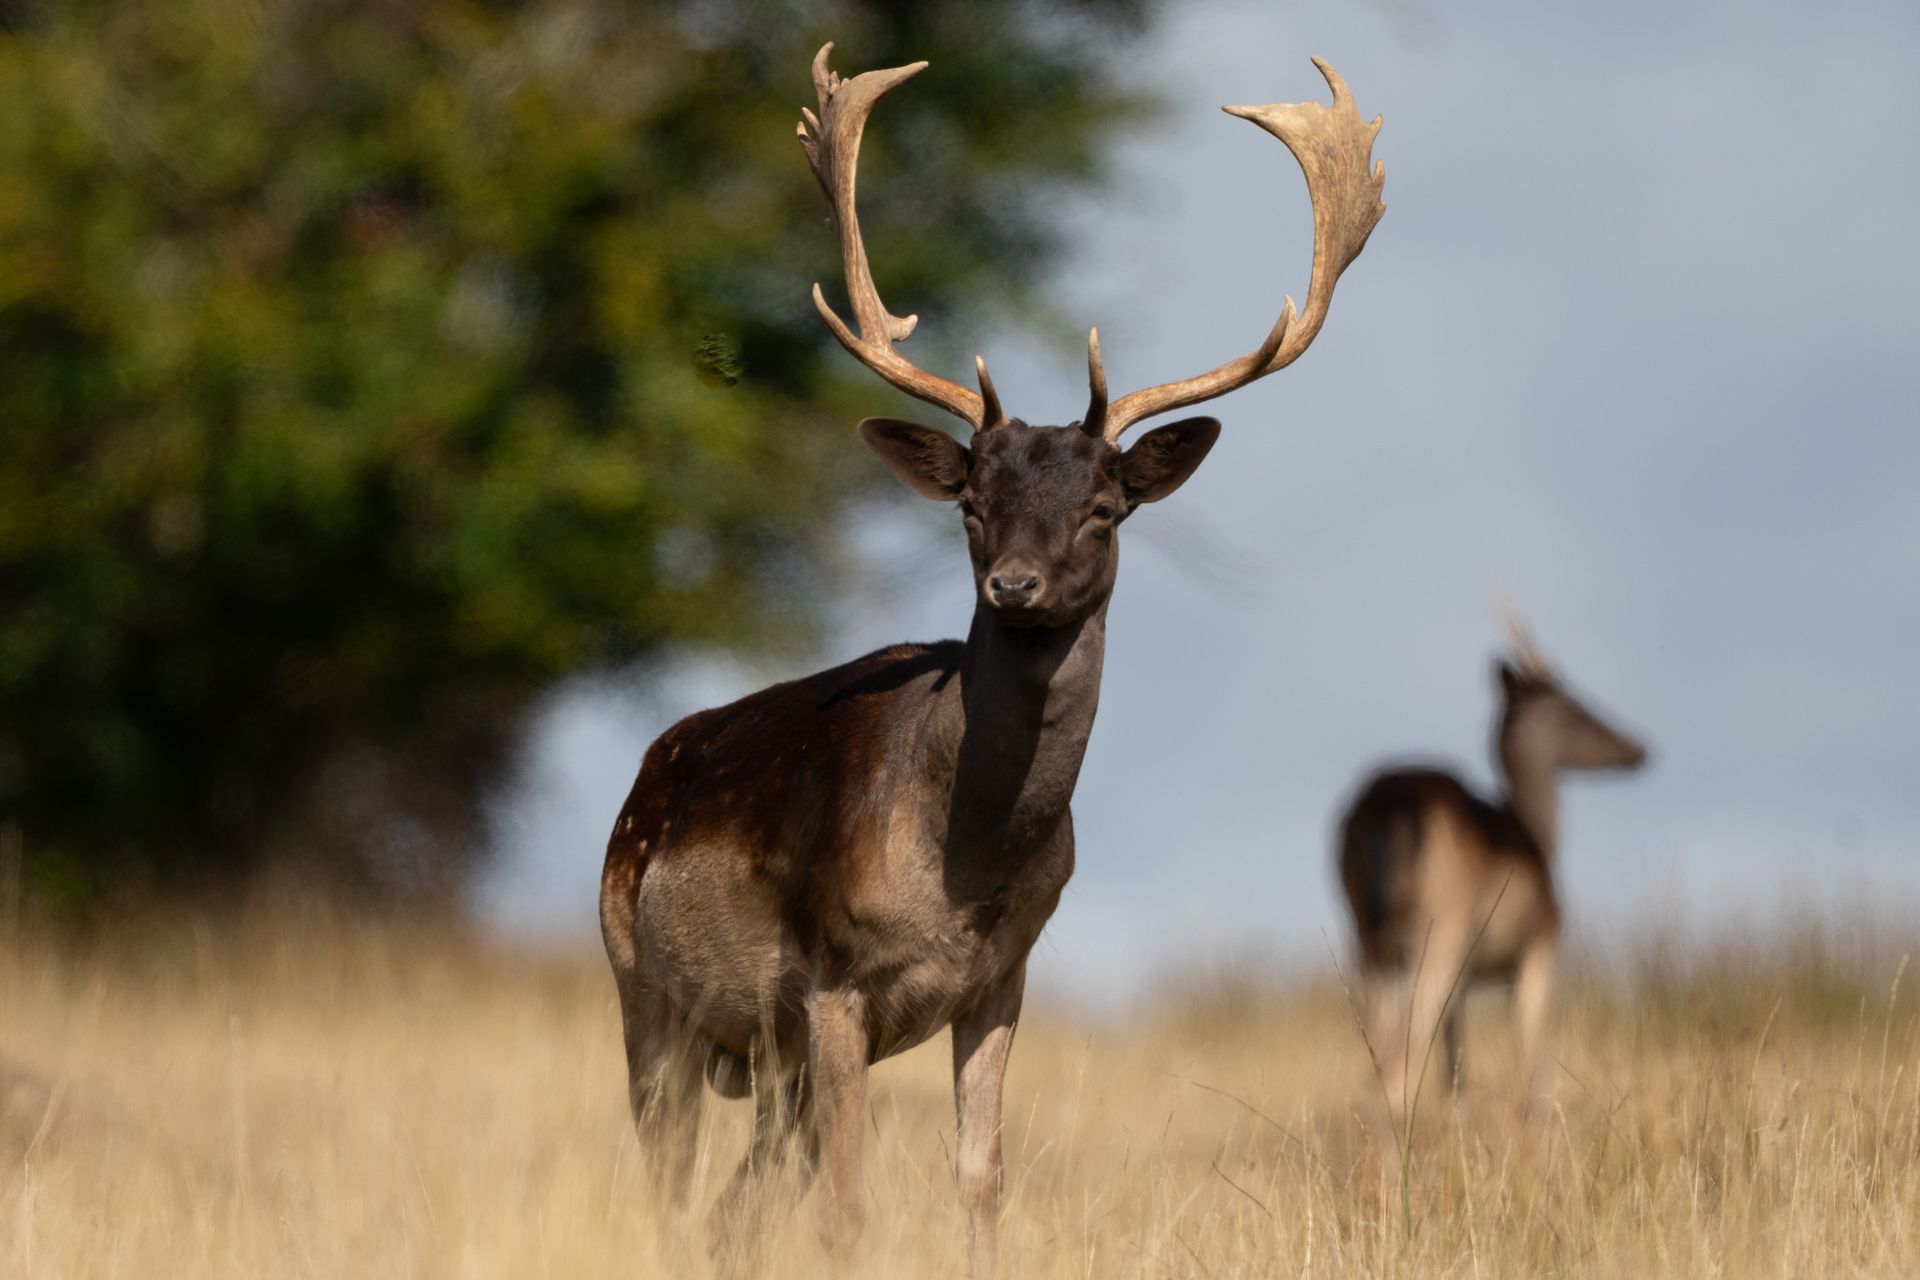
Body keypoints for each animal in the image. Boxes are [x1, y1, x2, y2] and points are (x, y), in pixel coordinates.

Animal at [599, 42, 1386, 1277]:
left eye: (1106, 507)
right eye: (973, 502)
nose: (1013, 584)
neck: (965, 866)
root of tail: (648, 768)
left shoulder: (1005, 976)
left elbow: (981, 1178)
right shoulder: (832, 979)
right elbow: (850, 1205)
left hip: (758, 1057)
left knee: (732, 1203)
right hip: (641, 984)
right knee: (670, 1183)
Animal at [1336, 611, 1647, 1126]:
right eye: (1572, 706)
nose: (1638, 749)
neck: (1536, 836)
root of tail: (1387, 804)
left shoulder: (1463, 986)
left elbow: (1455, 1077)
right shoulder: (1537, 954)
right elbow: (1531, 1077)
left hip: (1366, 941)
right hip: (1436, 939)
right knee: (1398, 1073)